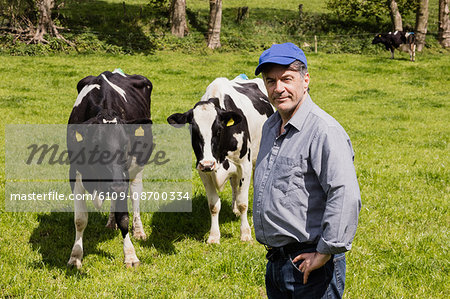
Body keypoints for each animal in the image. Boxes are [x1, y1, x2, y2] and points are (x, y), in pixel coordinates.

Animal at [67, 69, 154, 270]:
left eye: (126, 145)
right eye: (97, 146)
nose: (118, 185)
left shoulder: (123, 174)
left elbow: (124, 217)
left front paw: (130, 255)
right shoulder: (74, 173)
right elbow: (80, 219)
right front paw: (75, 256)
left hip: (137, 168)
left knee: (135, 194)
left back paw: (139, 230)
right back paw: (110, 222)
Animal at [169, 76, 274, 245]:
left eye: (218, 130)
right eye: (193, 130)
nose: (208, 164)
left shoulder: (244, 165)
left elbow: (243, 202)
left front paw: (245, 233)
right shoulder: (202, 170)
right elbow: (213, 205)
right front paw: (214, 236)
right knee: (234, 185)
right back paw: (234, 209)